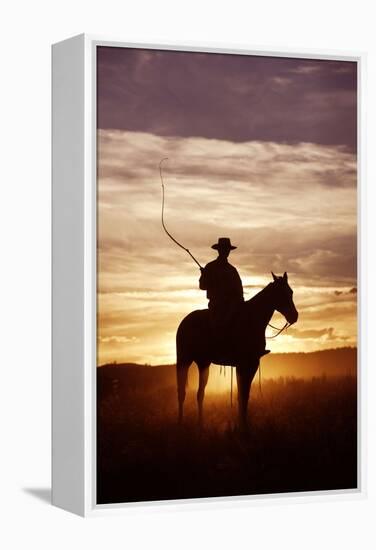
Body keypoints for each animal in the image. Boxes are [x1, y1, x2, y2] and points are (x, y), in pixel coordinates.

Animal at [175, 272, 298, 432]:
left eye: (291, 292)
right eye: (282, 293)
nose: (294, 316)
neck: (252, 320)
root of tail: (184, 322)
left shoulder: (251, 364)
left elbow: (243, 395)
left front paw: (243, 424)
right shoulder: (245, 364)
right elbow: (243, 395)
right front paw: (243, 426)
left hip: (203, 364)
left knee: (200, 394)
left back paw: (200, 424)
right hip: (183, 360)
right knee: (181, 392)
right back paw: (180, 423)